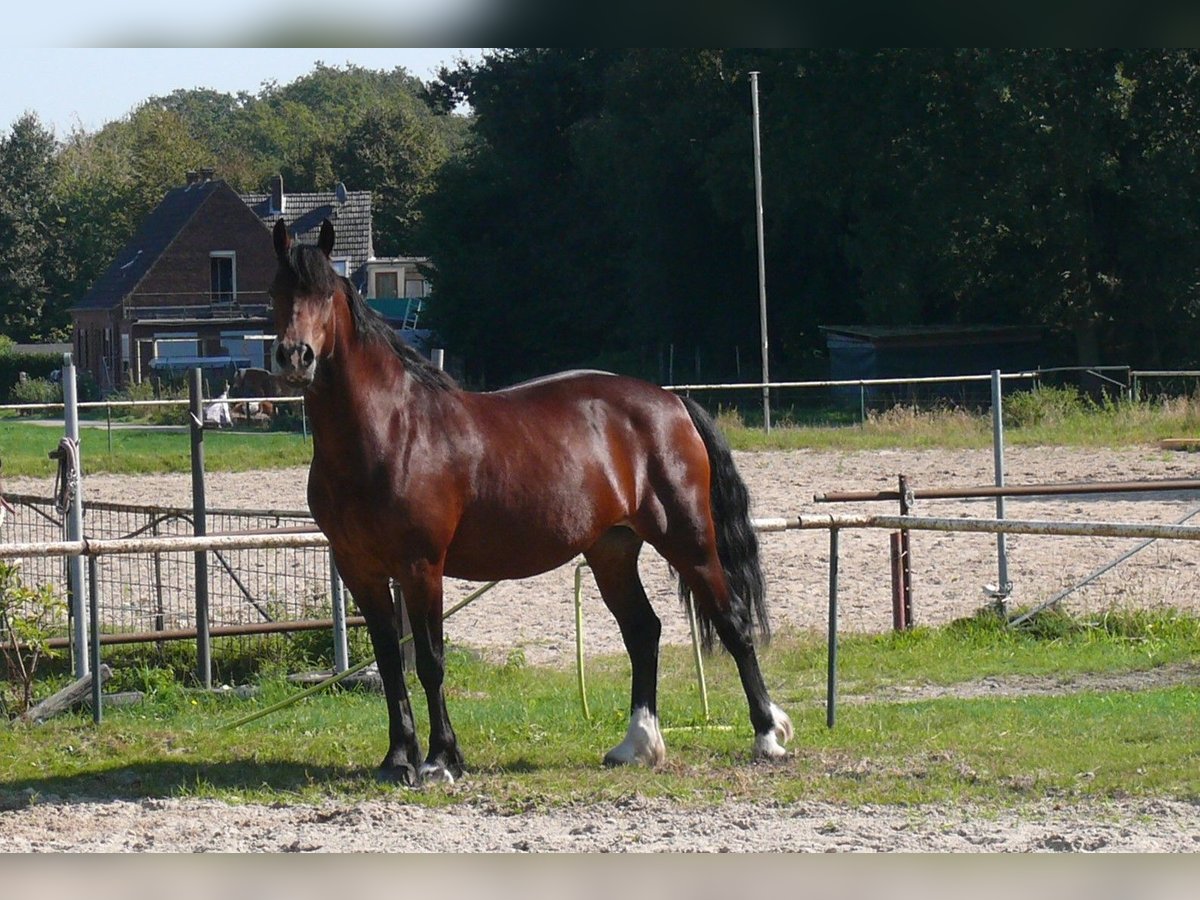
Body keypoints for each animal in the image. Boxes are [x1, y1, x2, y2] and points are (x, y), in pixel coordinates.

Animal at [268, 220, 792, 787]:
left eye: (325, 294)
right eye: (277, 292)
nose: (295, 357)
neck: (390, 429)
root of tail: (672, 400)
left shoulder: (421, 566)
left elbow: (430, 660)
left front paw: (440, 760)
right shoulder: (359, 568)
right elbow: (389, 663)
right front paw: (397, 759)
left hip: (688, 539)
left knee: (732, 620)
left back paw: (767, 736)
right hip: (611, 551)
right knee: (642, 632)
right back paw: (636, 744)